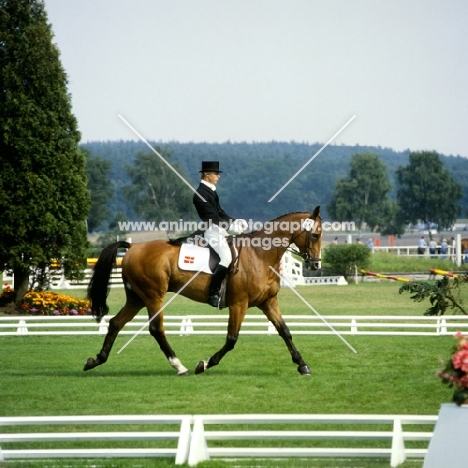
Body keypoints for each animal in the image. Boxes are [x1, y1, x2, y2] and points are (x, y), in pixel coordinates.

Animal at [84, 208, 322, 376]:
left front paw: (302, 365)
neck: (260, 255)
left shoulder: (268, 302)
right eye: (315, 234)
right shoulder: (239, 304)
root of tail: (133, 248)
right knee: (156, 328)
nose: (316, 265)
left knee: (116, 323)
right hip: (153, 296)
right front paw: (205, 364)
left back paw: (96, 360)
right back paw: (179, 366)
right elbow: (231, 339)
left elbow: (285, 331)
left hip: (137, 298)